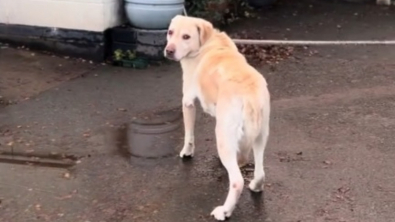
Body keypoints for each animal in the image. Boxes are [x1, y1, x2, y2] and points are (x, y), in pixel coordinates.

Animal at [164, 15, 272, 220]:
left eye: (186, 36)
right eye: (170, 32)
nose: (169, 51)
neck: (207, 42)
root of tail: (249, 95)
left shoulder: (187, 102)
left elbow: (188, 134)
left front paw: (186, 152)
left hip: (225, 137)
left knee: (237, 181)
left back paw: (224, 211)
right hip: (260, 135)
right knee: (261, 171)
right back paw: (256, 186)